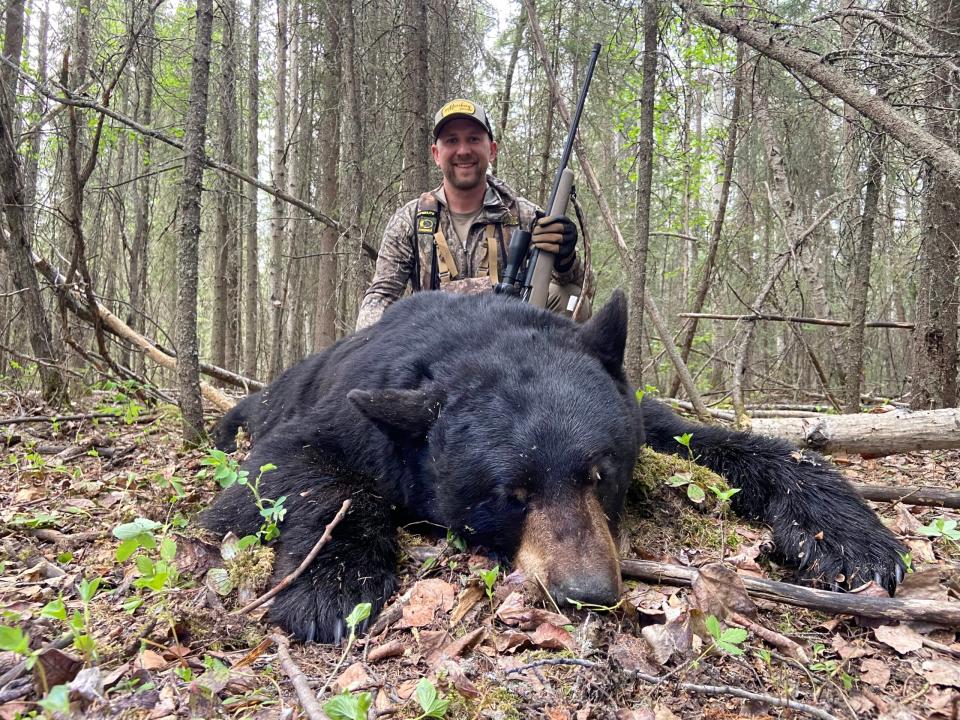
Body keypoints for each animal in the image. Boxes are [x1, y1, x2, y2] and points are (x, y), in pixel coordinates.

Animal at [204, 290, 908, 644]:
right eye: (510, 493)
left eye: (601, 473)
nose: (588, 592)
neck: (476, 336)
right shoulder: (355, 418)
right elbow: (292, 470)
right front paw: (329, 586)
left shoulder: (636, 413)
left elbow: (716, 443)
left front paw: (849, 539)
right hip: (260, 404)